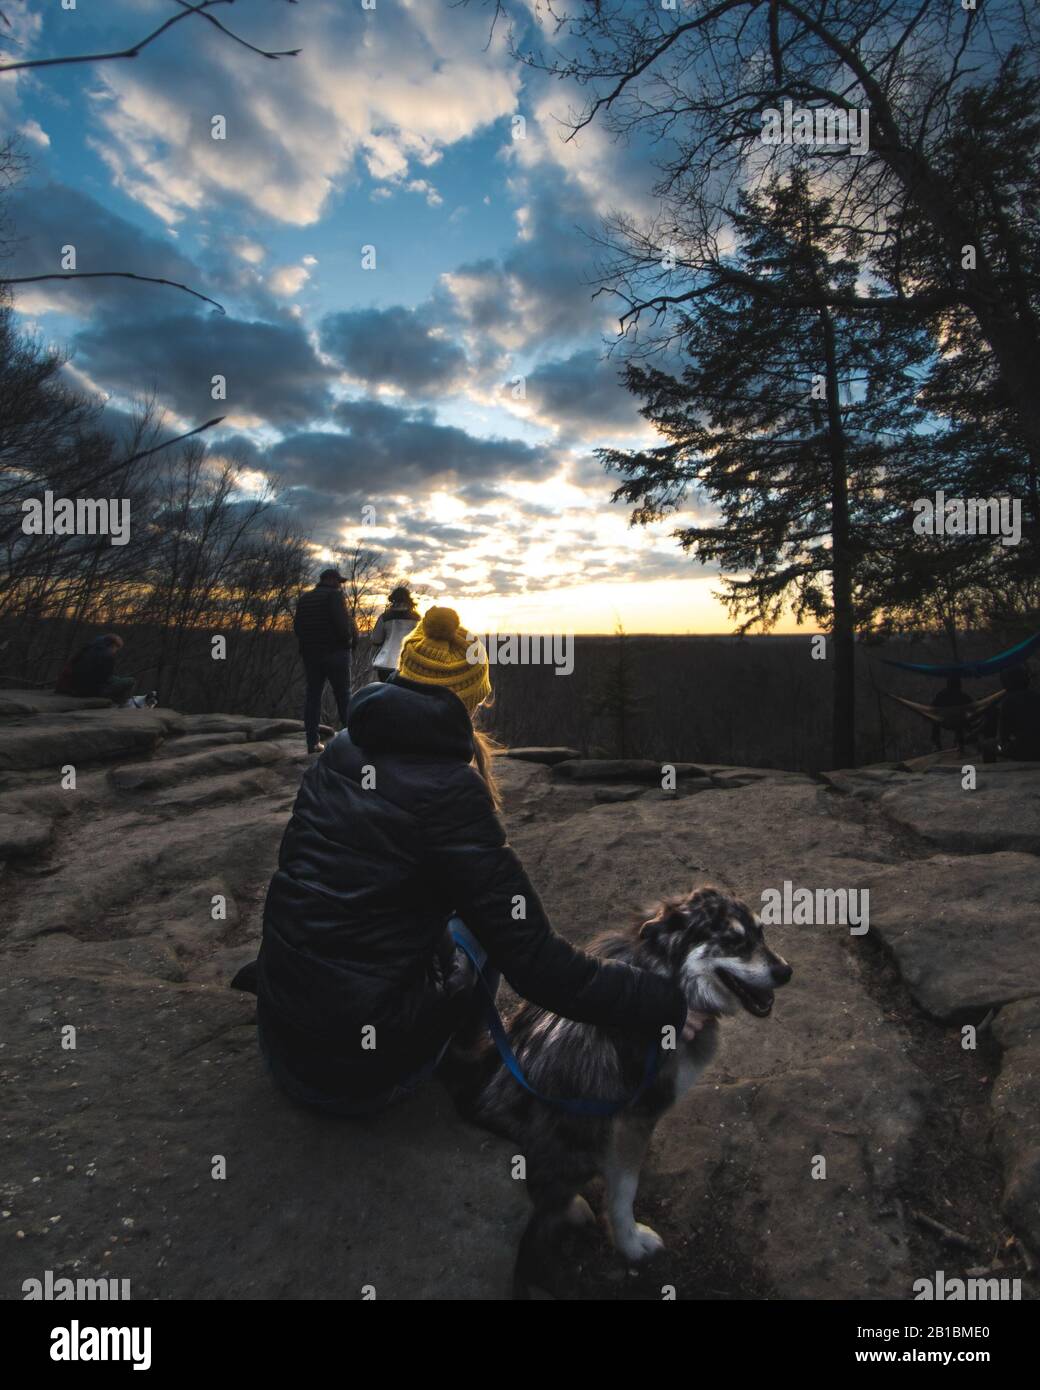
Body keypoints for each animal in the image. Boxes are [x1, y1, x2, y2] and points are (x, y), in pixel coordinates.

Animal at [453, 884, 789, 1295]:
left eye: (761, 933)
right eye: (732, 941)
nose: (786, 971)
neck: (668, 978)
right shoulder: (635, 1117)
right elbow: (624, 1189)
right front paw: (630, 1243)